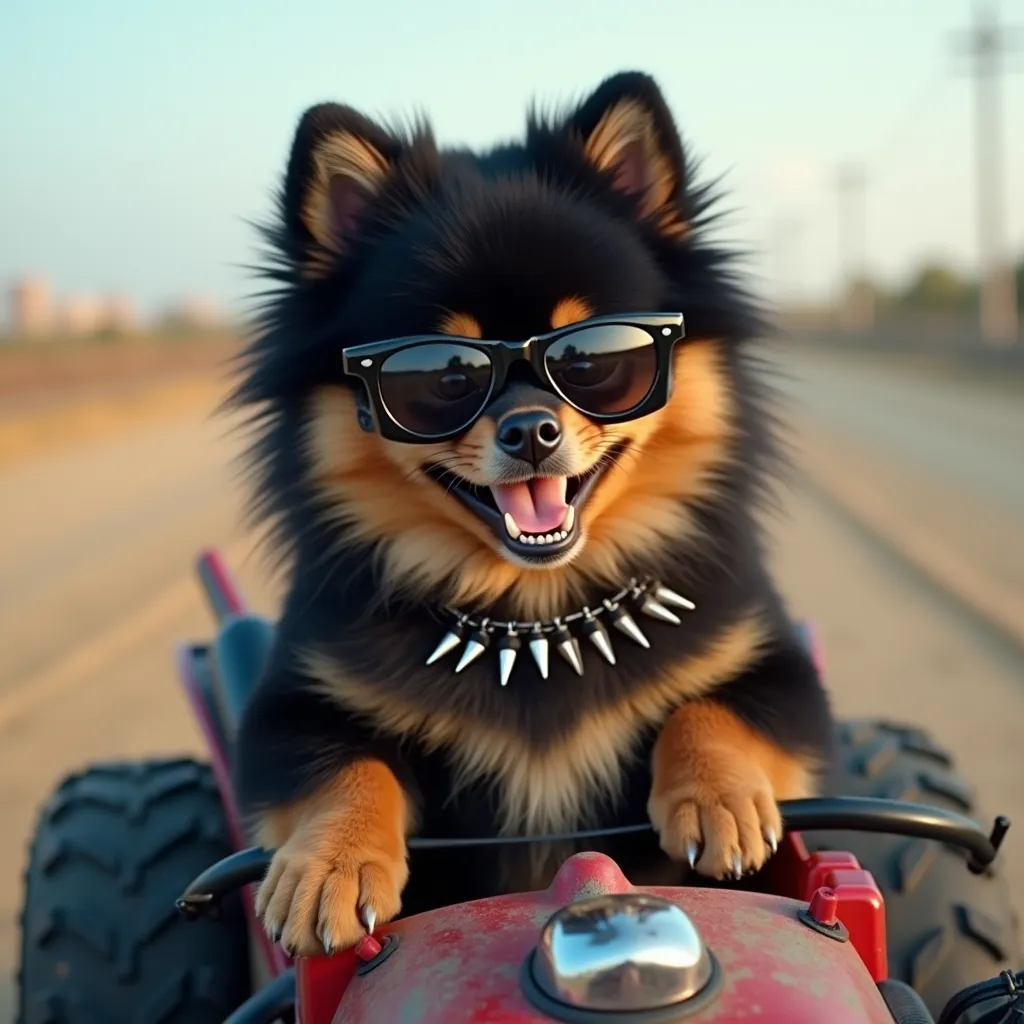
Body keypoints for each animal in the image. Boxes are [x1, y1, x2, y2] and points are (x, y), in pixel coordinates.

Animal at [232, 68, 831, 954]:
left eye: (591, 357)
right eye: (443, 375)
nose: (530, 429)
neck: (536, 609)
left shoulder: (783, 670)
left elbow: (712, 703)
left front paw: (718, 797)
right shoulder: (286, 708)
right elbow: (342, 763)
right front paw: (326, 866)